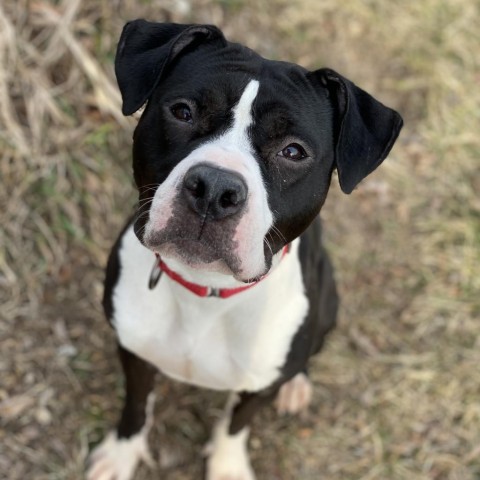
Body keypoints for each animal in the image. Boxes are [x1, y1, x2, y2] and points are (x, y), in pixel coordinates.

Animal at [85, 19, 402, 480]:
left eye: (293, 151)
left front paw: (228, 466)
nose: (214, 188)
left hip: (328, 300)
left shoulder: (258, 386)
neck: (205, 290)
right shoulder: (133, 349)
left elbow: (237, 424)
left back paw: (297, 385)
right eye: (183, 112)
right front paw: (121, 454)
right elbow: (135, 407)